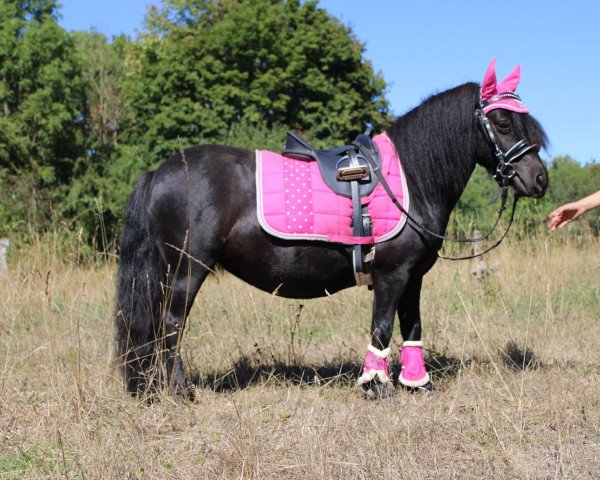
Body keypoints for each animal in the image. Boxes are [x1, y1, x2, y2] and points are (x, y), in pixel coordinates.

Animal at [113, 64, 548, 402]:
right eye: (503, 122)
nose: (539, 179)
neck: (411, 177)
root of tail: (159, 172)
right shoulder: (391, 275)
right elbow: (382, 327)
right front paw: (376, 386)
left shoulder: (413, 278)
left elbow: (413, 327)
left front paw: (419, 385)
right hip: (187, 270)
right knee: (170, 325)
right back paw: (181, 392)